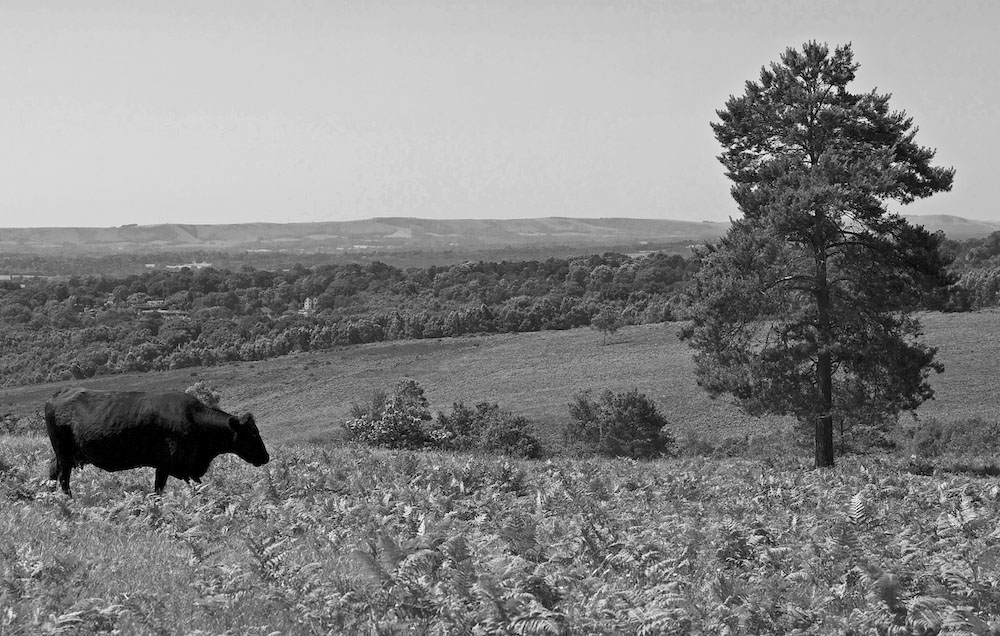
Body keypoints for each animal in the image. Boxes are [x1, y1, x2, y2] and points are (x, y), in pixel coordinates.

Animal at [47, 388, 270, 496]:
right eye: (252, 434)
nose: (266, 457)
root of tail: (58, 395)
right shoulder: (171, 465)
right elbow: (163, 491)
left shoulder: (178, 468)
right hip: (64, 455)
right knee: (64, 480)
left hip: (62, 456)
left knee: (52, 474)